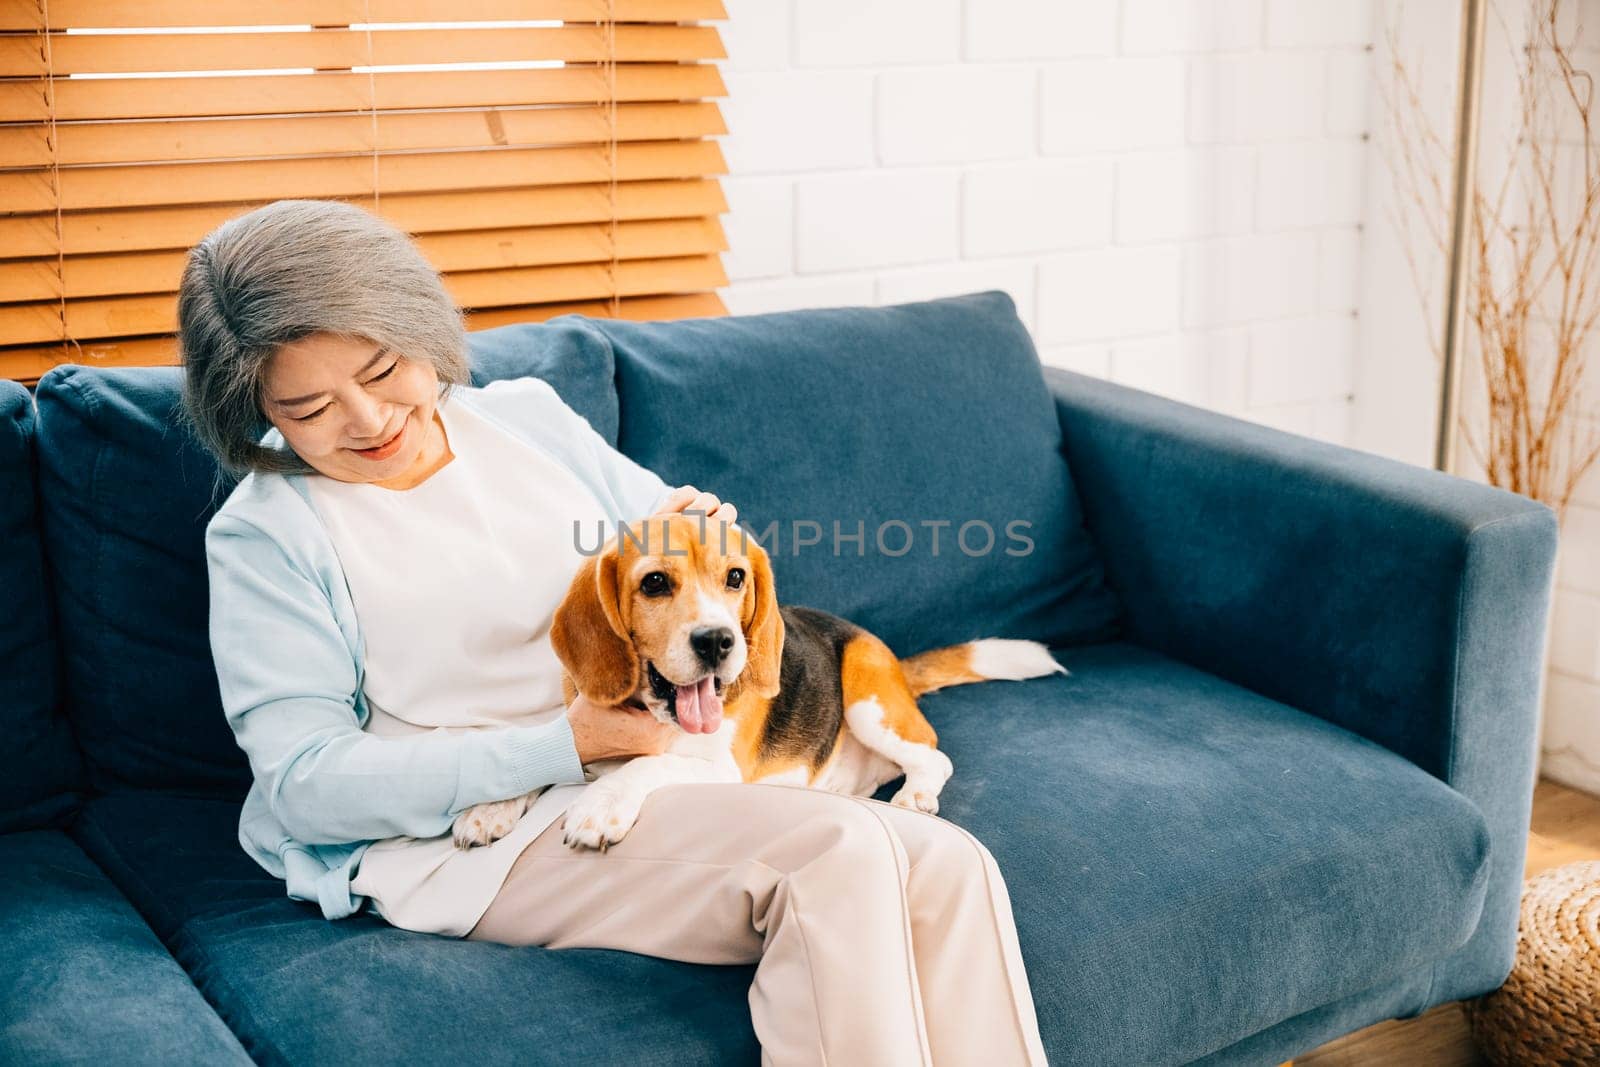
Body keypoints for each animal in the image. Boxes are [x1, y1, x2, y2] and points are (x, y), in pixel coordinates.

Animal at [454, 511, 1062, 857]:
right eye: (654, 583)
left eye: (735, 578)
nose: (718, 641)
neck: (654, 711)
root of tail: (886, 653)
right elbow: (544, 761)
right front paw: (490, 808)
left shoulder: (720, 769)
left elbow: (645, 766)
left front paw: (599, 806)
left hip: (868, 703)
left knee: (934, 757)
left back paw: (915, 793)